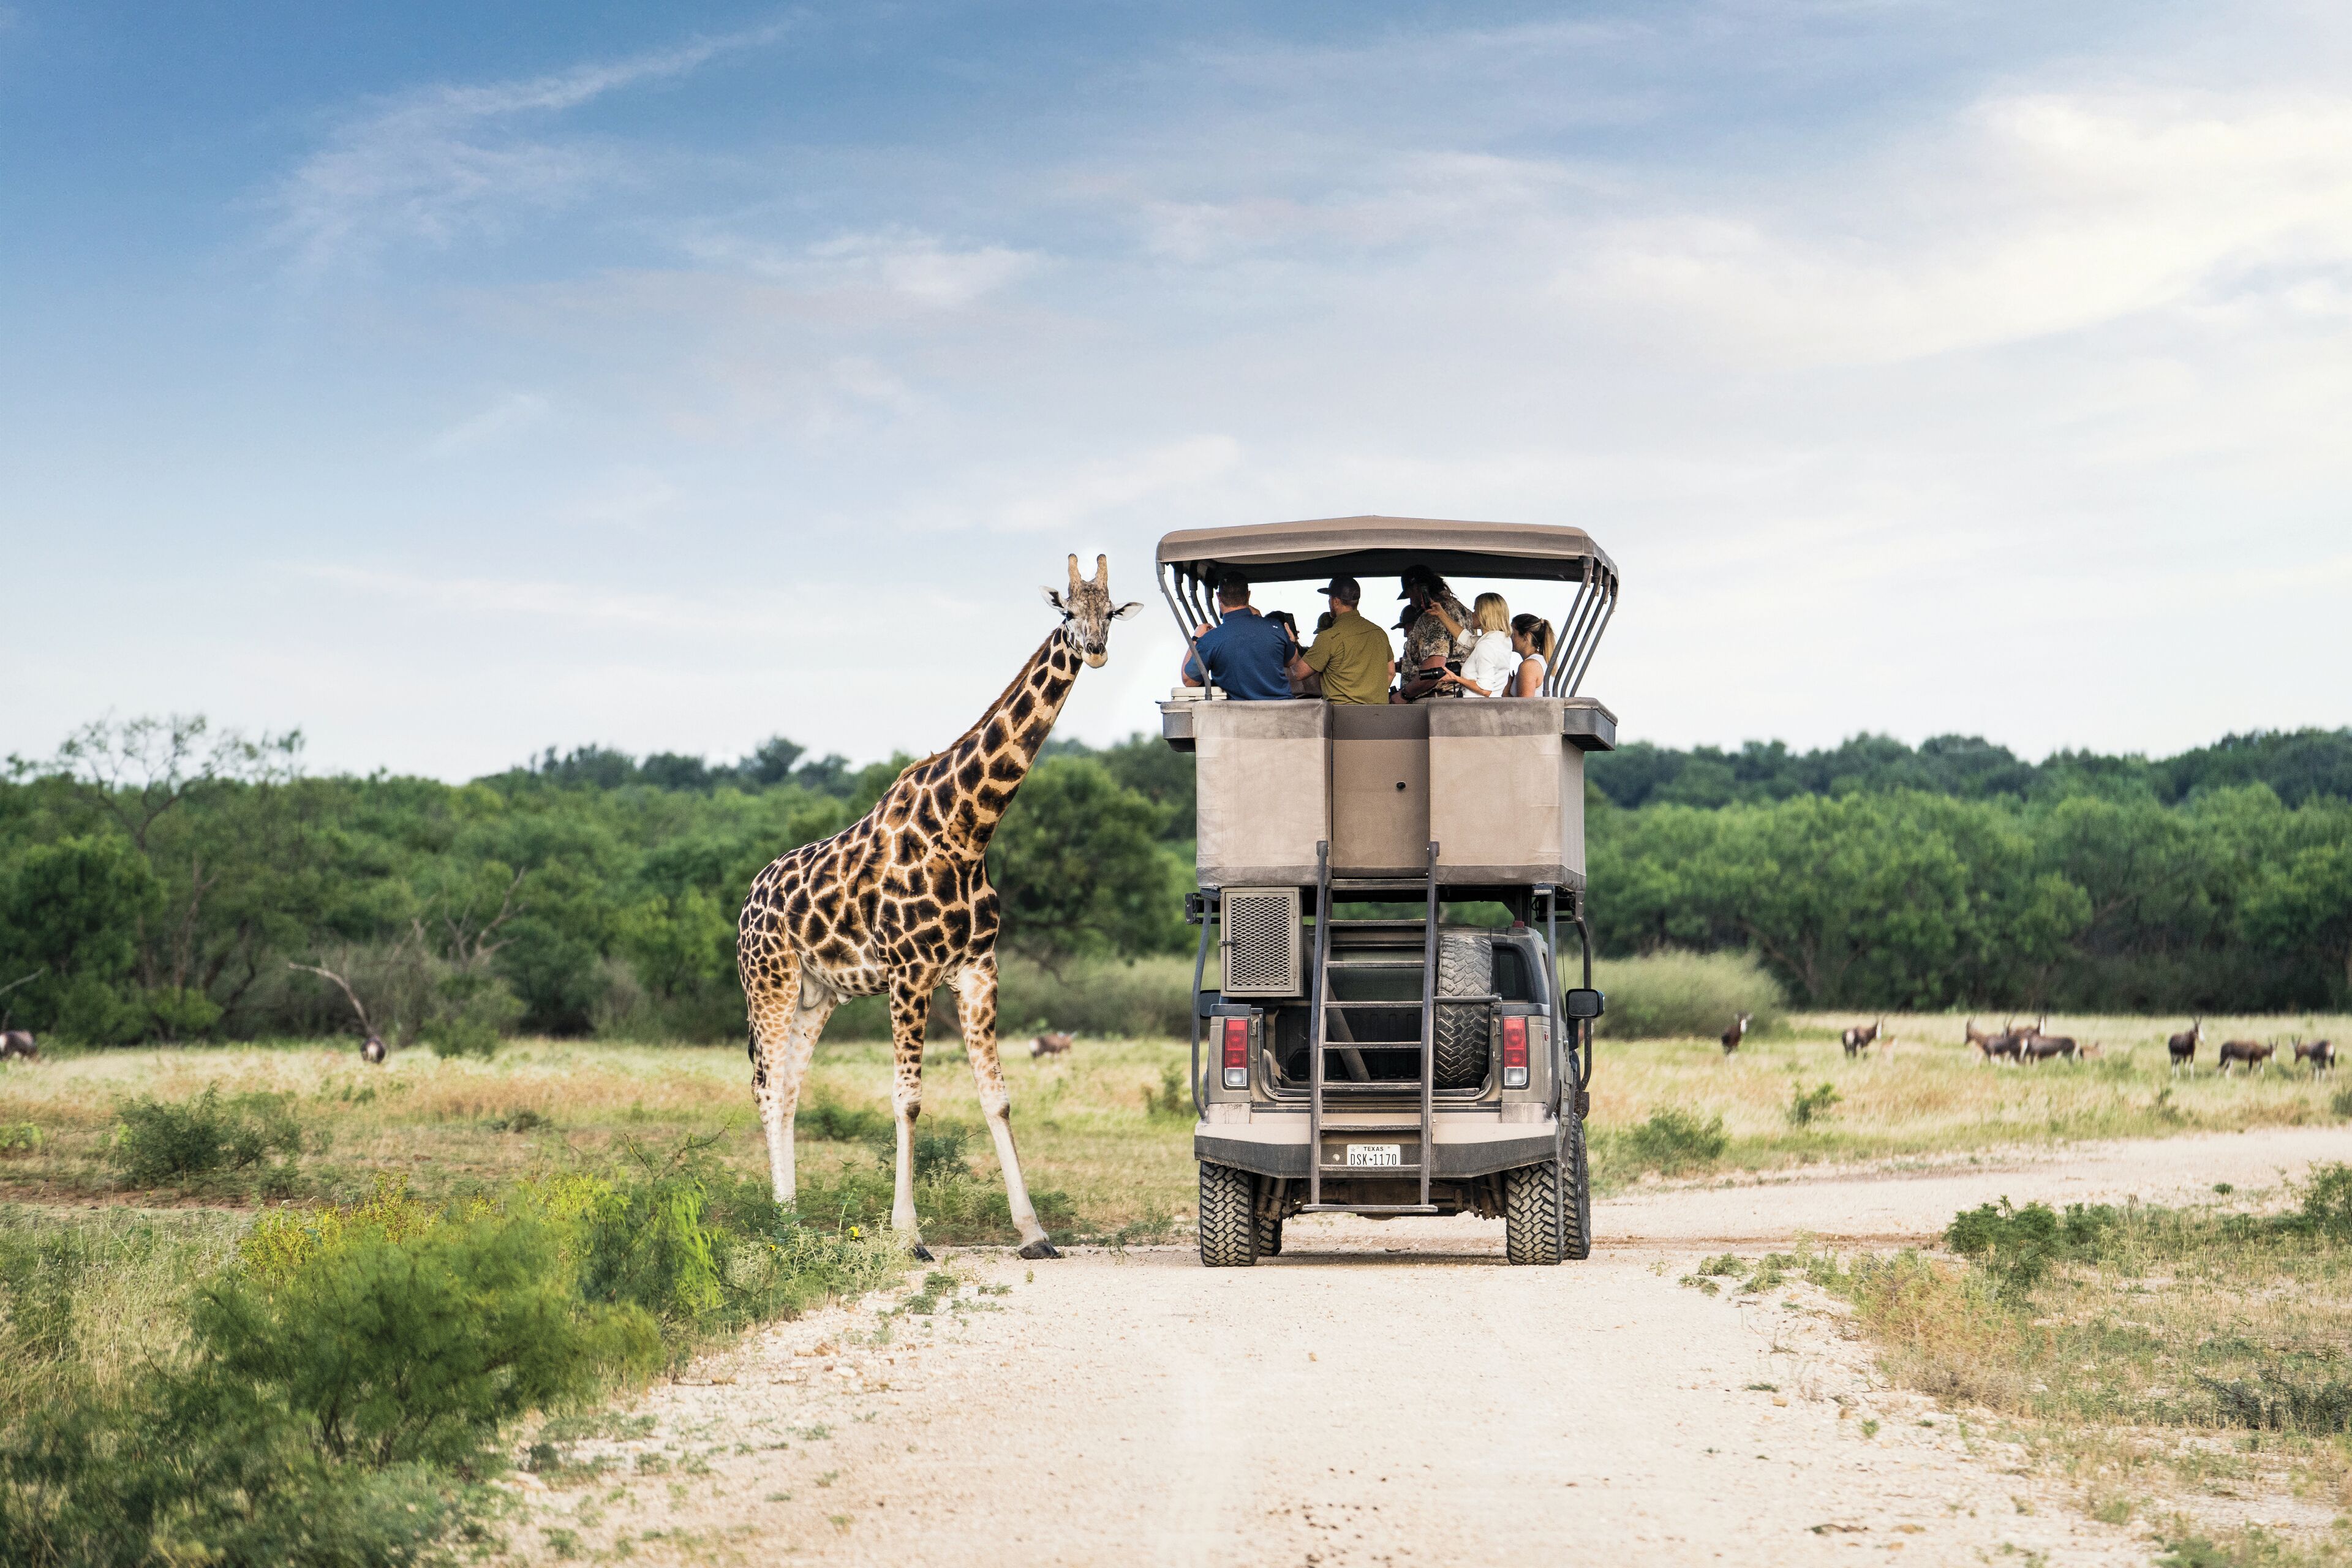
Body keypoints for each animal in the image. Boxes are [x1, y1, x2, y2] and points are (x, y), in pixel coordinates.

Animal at [738, 553, 1140, 1260]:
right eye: (1068, 610)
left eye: (1112, 611)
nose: (1093, 650)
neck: (970, 829)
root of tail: (745, 905)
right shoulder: (910, 973)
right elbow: (908, 1099)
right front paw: (908, 1235)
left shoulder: (977, 968)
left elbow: (998, 1098)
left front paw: (1034, 1232)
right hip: (771, 983)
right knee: (764, 1086)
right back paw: (783, 1224)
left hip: (817, 995)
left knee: (786, 1087)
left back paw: (794, 1220)